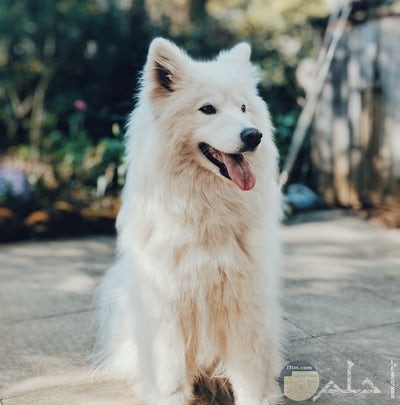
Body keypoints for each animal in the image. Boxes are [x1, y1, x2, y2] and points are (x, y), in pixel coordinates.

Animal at [94, 38, 283, 405]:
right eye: (208, 109)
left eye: (243, 108)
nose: (253, 136)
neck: (207, 209)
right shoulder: (167, 306)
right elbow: (170, 375)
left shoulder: (244, 302)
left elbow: (250, 376)